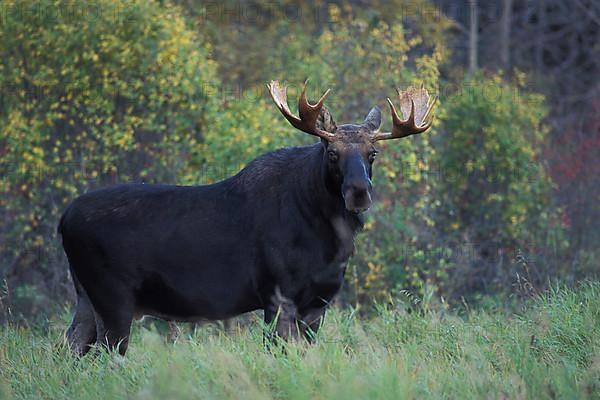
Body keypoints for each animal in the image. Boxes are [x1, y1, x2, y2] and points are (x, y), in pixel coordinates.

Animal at [59, 79, 436, 354]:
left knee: (71, 348)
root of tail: (62, 222)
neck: (329, 241)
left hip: (86, 298)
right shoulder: (277, 295)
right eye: (331, 152)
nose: (359, 191)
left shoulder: (319, 302)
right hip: (113, 298)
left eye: (373, 153)